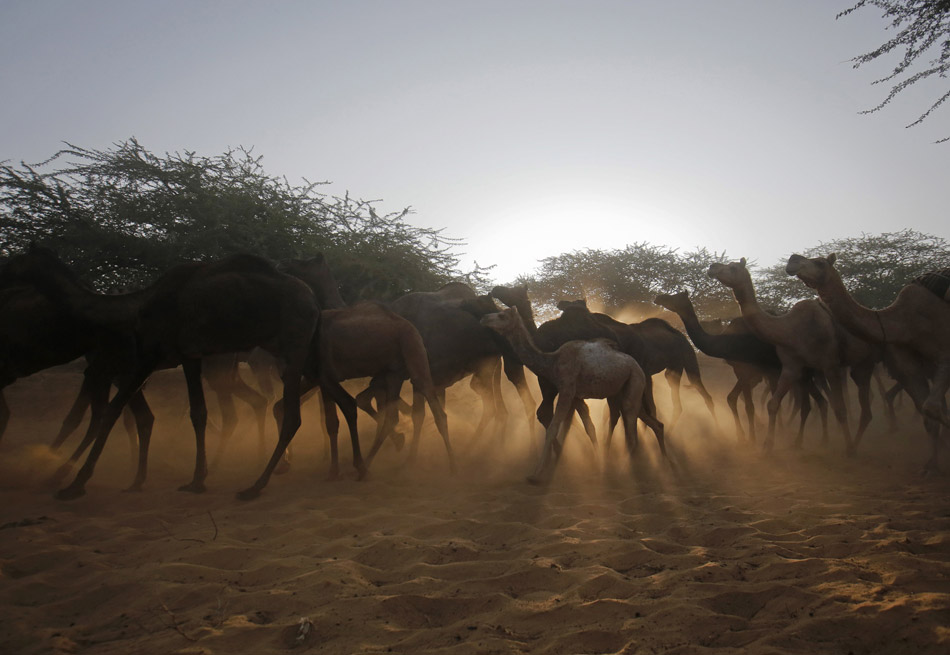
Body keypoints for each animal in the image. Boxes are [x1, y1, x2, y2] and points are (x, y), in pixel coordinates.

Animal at [2, 245, 320, 498]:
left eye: (16, 261)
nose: (5, 278)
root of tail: (312, 299)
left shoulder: (144, 355)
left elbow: (112, 411)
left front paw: (74, 483)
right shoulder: (187, 354)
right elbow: (197, 413)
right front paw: (196, 480)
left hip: (292, 343)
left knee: (289, 414)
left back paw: (257, 484)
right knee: (267, 404)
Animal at [480, 304, 664, 484]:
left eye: (502, 316)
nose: (484, 318)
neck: (552, 362)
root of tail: (637, 366)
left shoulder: (567, 389)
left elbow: (554, 427)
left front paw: (535, 475)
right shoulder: (575, 395)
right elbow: (588, 426)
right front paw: (597, 462)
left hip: (634, 380)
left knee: (632, 433)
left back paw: (623, 472)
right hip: (622, 391)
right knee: (653, 422)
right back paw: (666, 462)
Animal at [660, 292, 828, 446]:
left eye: (675, 297)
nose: (660, 297)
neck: (727, 342)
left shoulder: (749, 370)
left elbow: (748, 406)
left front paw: (752, 439)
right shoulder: (741, 370)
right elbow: (733, 398)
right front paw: (742, 436)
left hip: (800, 371)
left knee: (806, 402)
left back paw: (800, 440)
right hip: (800, 374)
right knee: (817, 401)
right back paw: (812, 439)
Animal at [712, 258, 880, 456]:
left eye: (732, 268)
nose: (712, 267)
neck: (790, 328)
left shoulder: (829, 364)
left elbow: (839, 408)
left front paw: (848, 447)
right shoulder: (792, 366)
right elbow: (773, 404)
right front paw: (768, 445)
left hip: (865, 362)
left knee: (857, 402)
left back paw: (852, 443)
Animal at [788, 251, 950, 472]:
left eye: (820, 262)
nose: (792, 260)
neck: (902, 320)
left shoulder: (944, 354)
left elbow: (931, 407)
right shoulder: (910, 364)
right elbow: (928, 411)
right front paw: (931, 465)